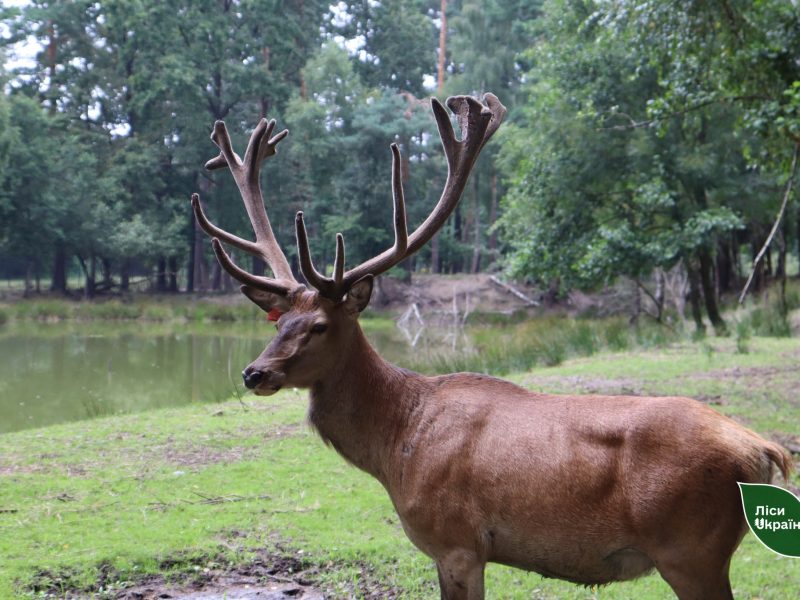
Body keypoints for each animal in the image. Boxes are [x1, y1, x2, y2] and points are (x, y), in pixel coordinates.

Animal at [192, 94, 792, 600]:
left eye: (318, 324)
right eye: (277, 321)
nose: (254, 373)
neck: (396, 444)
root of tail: (765, 449)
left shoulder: (458, 541)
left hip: (691, 550)